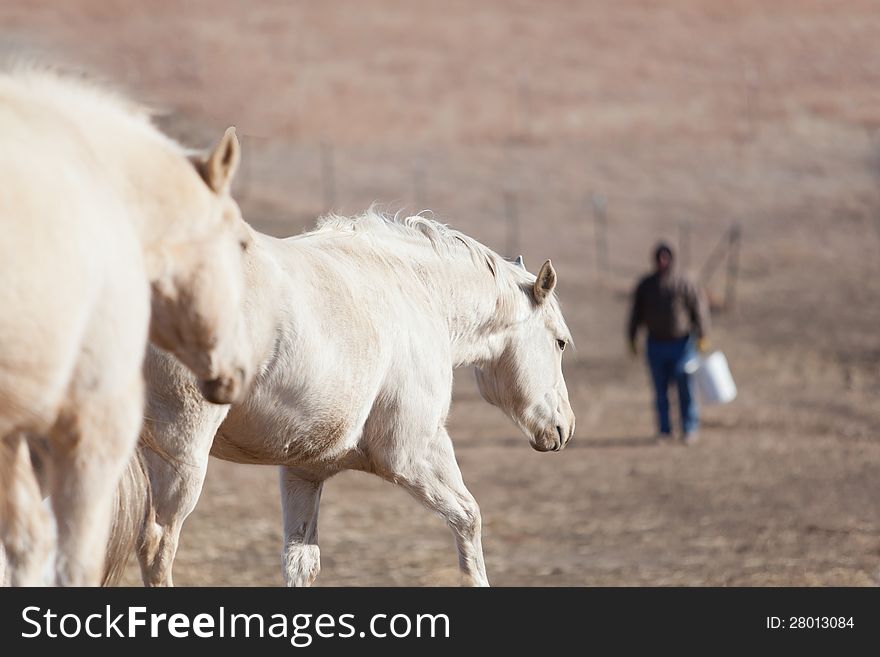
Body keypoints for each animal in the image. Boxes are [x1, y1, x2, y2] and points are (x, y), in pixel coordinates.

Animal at [106, 209, 576, 584]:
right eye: (560, 342)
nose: (564, 427)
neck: (417, 291)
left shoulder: (304, 471)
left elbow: (301, 561)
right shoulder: (414, 453)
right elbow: (468, 519)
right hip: (180, 453)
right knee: (157, 545)